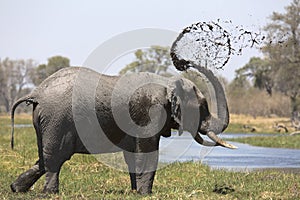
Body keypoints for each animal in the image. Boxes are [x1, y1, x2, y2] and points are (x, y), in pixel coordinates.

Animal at [9, 66, 236, 195]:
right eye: (203, 107)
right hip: (57, 119)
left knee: (45, 157)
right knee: (56, 157)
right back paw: (51, 193)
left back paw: (16, 189)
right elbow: (148, 154)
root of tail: (37, 92)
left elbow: (133, 155)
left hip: (46, 120)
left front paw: (135, 191)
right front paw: (145, 195)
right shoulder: (149, 113)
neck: (168, 83)